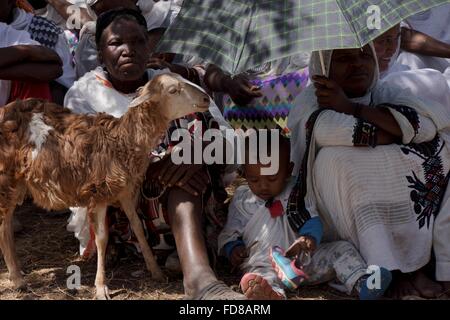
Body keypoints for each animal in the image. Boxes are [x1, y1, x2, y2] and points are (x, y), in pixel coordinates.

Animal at [0, 73, 210, 300]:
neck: (121, 141)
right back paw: (18, 279)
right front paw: (101, 287)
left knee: (7, 224)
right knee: (3, 224)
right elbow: (102, 239)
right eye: (173, 90)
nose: (206, 99)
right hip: (6, 178)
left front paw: (156, 271)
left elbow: (138, 227)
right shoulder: (98, 194)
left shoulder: (126, 192)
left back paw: (17, 274)